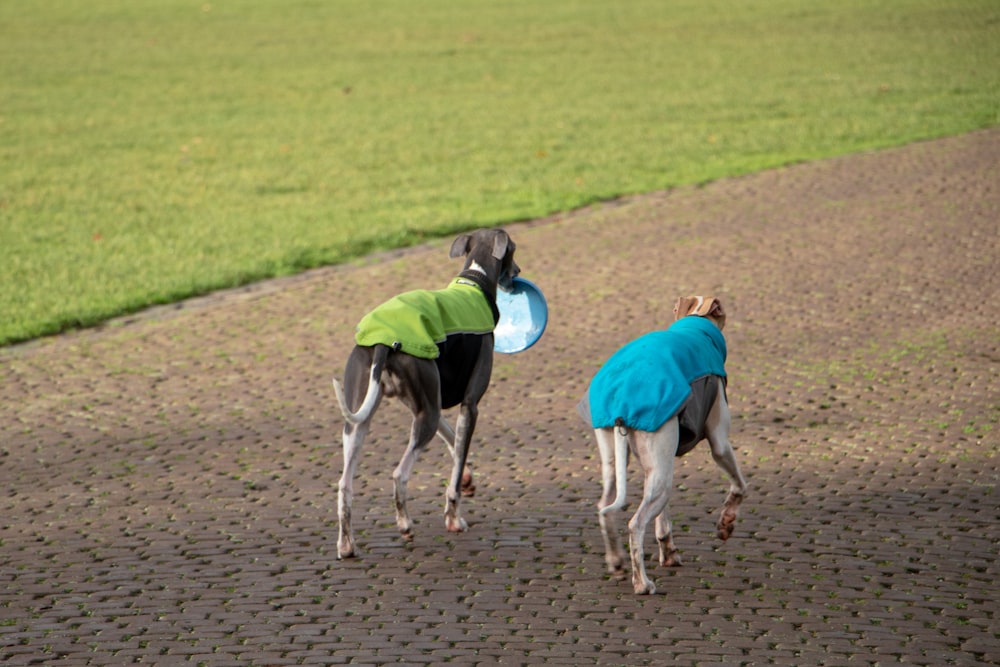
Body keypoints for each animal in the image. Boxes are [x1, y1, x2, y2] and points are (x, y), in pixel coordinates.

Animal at [336, 228, 524, 560]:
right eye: (514, 249)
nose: (518, 272)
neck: (474, 280)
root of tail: (383, 341)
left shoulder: (427, 405)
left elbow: (455, 444)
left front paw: (468, 480)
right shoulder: (470, 405)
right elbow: (456, 465)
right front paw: (454, 518)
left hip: (365, 418)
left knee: (345, 484)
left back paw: (346, 545)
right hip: (421, 414)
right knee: (399, 474)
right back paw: (405, 525)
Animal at [580, 298, 752, 596]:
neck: (696, 326)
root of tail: (620, 403)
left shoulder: (659, 462)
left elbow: (663, 520)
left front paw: (669, 552)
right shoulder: (719, 440)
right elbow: (740, 485)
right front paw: (726, 524)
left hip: (625, 463)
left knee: (605, 507)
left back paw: (616, 562)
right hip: (661, 472)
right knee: (635, 524)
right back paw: (642, 583)